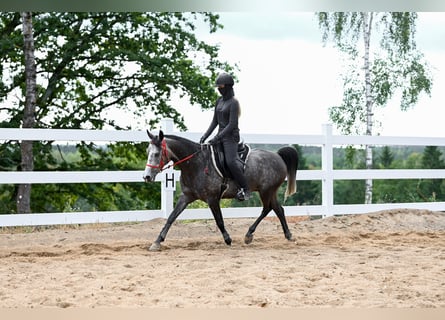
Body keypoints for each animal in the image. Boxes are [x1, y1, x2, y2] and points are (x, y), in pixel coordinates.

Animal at [143, 129, 298, 251]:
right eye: (147, 152)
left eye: (156, 154)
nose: (147, 176)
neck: (196, 163)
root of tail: (277, 155)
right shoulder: (186, 196)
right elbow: (171, 217)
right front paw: (157, 242)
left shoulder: (212, 199)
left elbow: (219, 220)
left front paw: (228, 239)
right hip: (270, 192)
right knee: (277, 209)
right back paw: (287, 235)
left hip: (266, 191)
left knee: (268, 208)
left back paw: (249, 235)